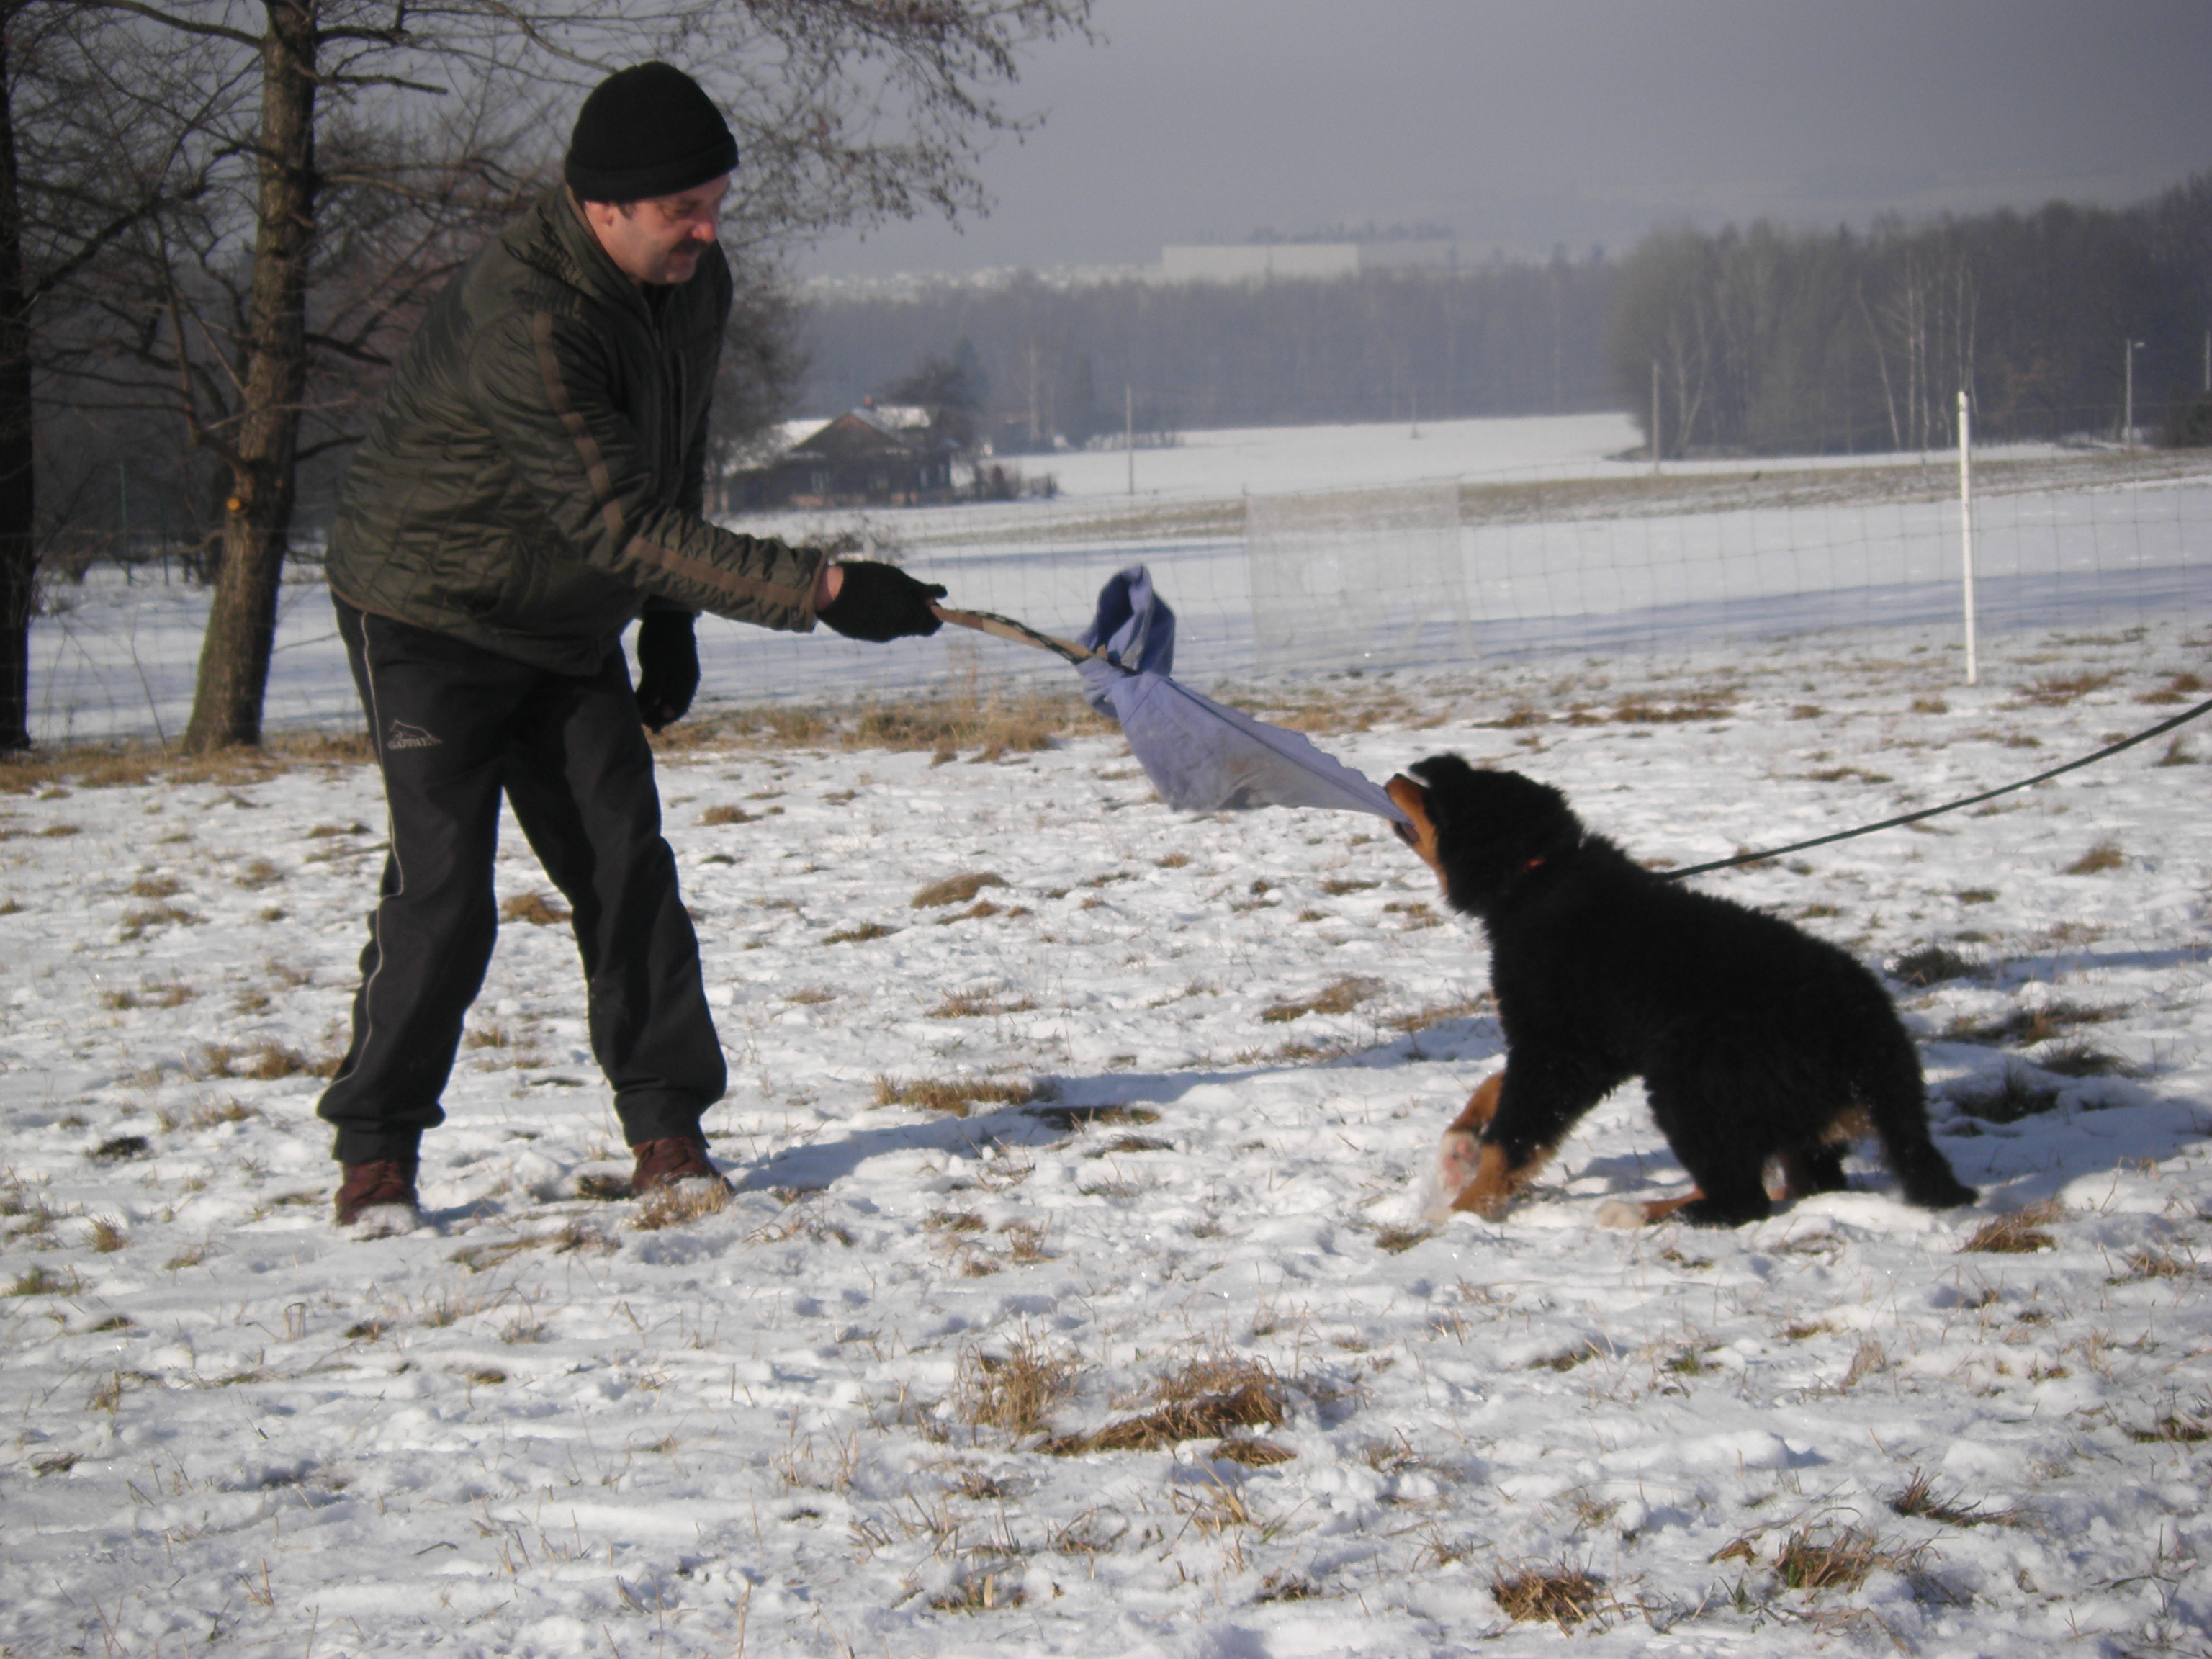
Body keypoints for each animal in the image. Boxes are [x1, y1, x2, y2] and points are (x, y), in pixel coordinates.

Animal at [1389, 760, 1982, 1230]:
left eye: (1441, 796)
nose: (1395, 777)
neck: (1536, 878)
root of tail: (1879, 1043)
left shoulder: (1560, 1050)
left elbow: (1515, 1135)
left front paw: (1461, 1211)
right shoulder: (1585, 1045)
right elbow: (1493, 1086)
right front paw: (1459, 1146)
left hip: (1694, 1071)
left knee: (1742, 1200)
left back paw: (1638, 1212)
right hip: (1782, 1100)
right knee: (1802, 1182)